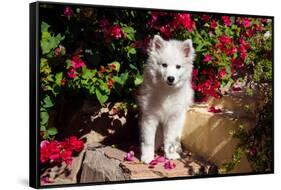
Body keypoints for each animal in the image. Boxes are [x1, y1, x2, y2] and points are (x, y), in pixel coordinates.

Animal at [137, 35, 194, 164]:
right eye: (164, 65)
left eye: (178, 66)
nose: (170, 78)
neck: (166, 91)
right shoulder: (150, 117)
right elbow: (148, 140)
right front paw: (147, 156)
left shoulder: (173, 118)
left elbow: (170, 138)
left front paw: (170, 154)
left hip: (181, 117)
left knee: (176, 136)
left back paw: (177, 148)